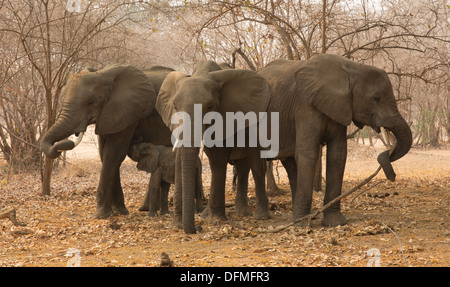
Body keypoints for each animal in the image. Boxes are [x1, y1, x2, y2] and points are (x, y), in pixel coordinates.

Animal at [40, 66, 174, 218]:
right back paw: (146, 209)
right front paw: (119, 212)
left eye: (90, 102)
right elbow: (105, 154)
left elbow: (113, 154)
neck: (103, 75)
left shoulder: (128, 114)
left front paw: (101, 215)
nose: (65, 142)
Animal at [156, 60, 272, 234]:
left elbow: (218, 160)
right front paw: (179, 224)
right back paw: (218, 214)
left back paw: (257, 216)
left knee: (255, 164)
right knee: (243, 166)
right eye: (175, 107)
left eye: (210, 107)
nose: (196, 228)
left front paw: (216, 220)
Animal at [258, 54, 414, 227]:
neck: (351, 69)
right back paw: (267, 217)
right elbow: (308, 154)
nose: (392, 177)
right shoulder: (305, 106)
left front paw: (335, 223)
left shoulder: (340, 108)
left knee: (290, 163)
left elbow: (338, 154)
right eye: (375, 98)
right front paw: (301, 225)